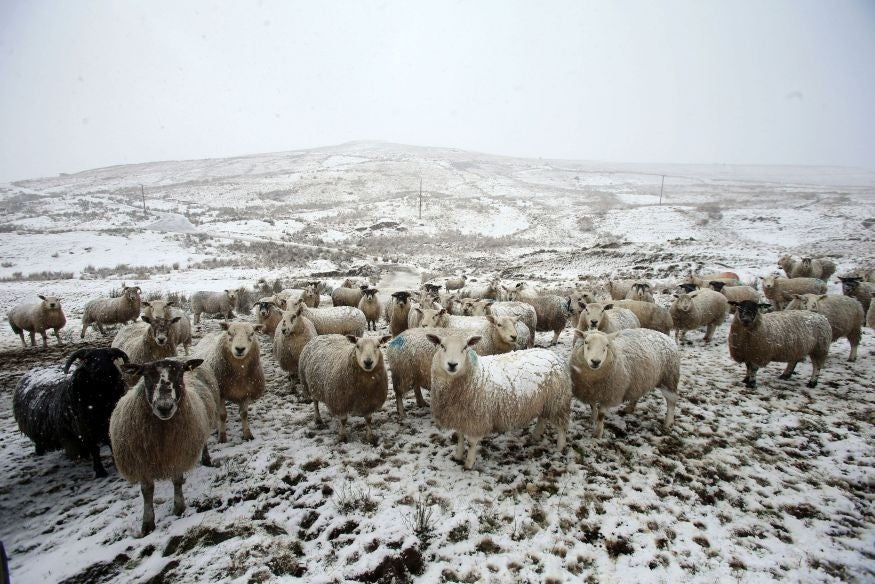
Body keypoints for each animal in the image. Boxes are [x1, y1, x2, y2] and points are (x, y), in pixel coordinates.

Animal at [13, 348, 129, 477]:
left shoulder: (108, 423)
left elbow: (111, 444)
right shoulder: (85, 429)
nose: (101, 371)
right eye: (87, 359)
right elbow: (95, 449)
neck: (100, 399)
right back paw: (40, 452)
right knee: (38, 440)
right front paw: (100, 471)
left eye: (110, 358)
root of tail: (34, 369)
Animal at [111, 358, 220, 535]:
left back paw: (206, 459)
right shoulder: (141, 463)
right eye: (146, 376)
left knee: (204, 441)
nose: (164, 407)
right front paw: (147, 523)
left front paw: (179, 507)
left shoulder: (178, 454)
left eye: (180, 374)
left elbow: (177, 480)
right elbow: (147, 491)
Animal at [425, 332, 571, 469]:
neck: (475, 375)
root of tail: (554, 355)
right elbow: (460, 437)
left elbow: (471, 442)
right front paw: (458, 456)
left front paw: (469, 464)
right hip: (545, 401)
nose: (452, 364)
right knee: (542, 417)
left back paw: (560, 447)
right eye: (442, 346)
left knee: (561, 426)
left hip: (558, 401)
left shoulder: (475, 418)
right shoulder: (458, 415)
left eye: (465, 347)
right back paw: (535, 436)